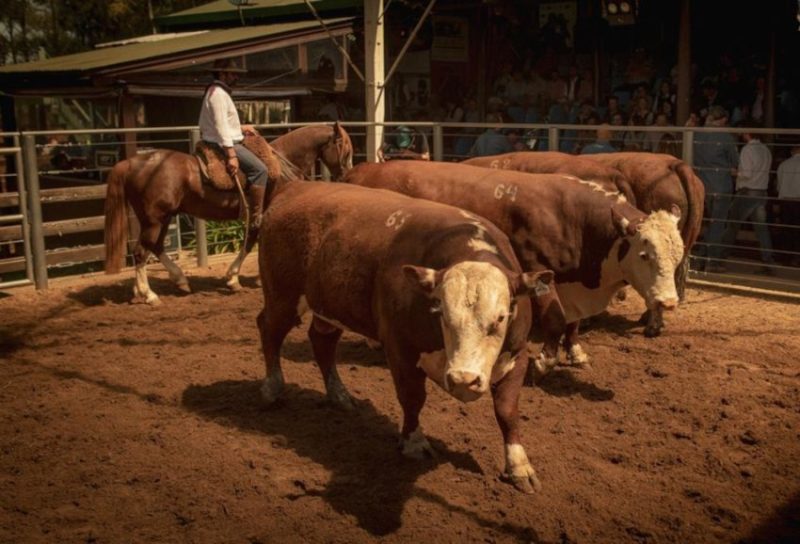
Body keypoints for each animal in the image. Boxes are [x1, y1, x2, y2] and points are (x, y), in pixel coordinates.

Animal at [104, 120, 354, 304]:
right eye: (346, 150)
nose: (347, 175)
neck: (281, 167)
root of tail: (130, 163)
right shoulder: (261, 214)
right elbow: (251, 242)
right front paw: (233, 279)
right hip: (154, 220)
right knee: (140, 252)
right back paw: (149, 295)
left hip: (162, 218)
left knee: (154, 248)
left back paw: (172, 282)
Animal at [260, 182, 552, 492]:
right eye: (441, 311)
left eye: (500, 318)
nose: (463, 379)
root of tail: (297, 185)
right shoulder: (400, 348)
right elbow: (412, 398)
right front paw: (413, 443)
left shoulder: (518, 354)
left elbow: (507, 411)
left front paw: (519, 466)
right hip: (282, 296)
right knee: (268, 330)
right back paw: (272, 388)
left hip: (328, 307)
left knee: (322, 341)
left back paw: (339, 395)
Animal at [340, 159, 684, 376]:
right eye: (645, 254)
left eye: (678, 255)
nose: (668, 302)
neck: (574, 219)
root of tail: (361, 169)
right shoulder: (537, 271)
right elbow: (556, 320)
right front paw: (544, 361)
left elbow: (572, 323)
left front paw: (576, 352)